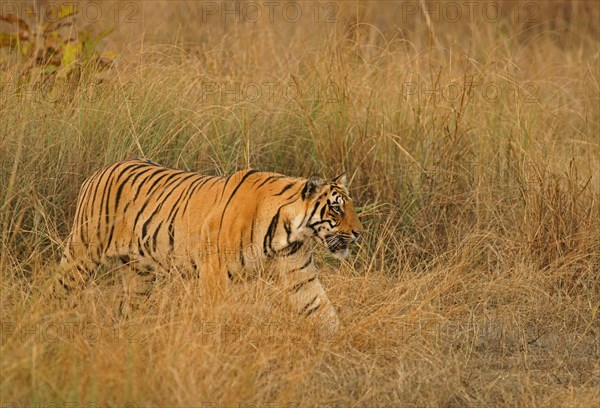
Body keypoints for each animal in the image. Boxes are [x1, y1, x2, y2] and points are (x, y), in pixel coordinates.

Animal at [58, 159, 364, 334]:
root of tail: (100, 170)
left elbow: (321, 308)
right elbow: (216, 315)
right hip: (82, 252)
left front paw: (342, 345)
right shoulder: (214, 272)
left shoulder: (300, 273)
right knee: (60, 288)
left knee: (129, 308)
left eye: (349, 206)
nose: (359, 233)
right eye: (336, 209)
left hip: (139, 274)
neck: (289, 232)